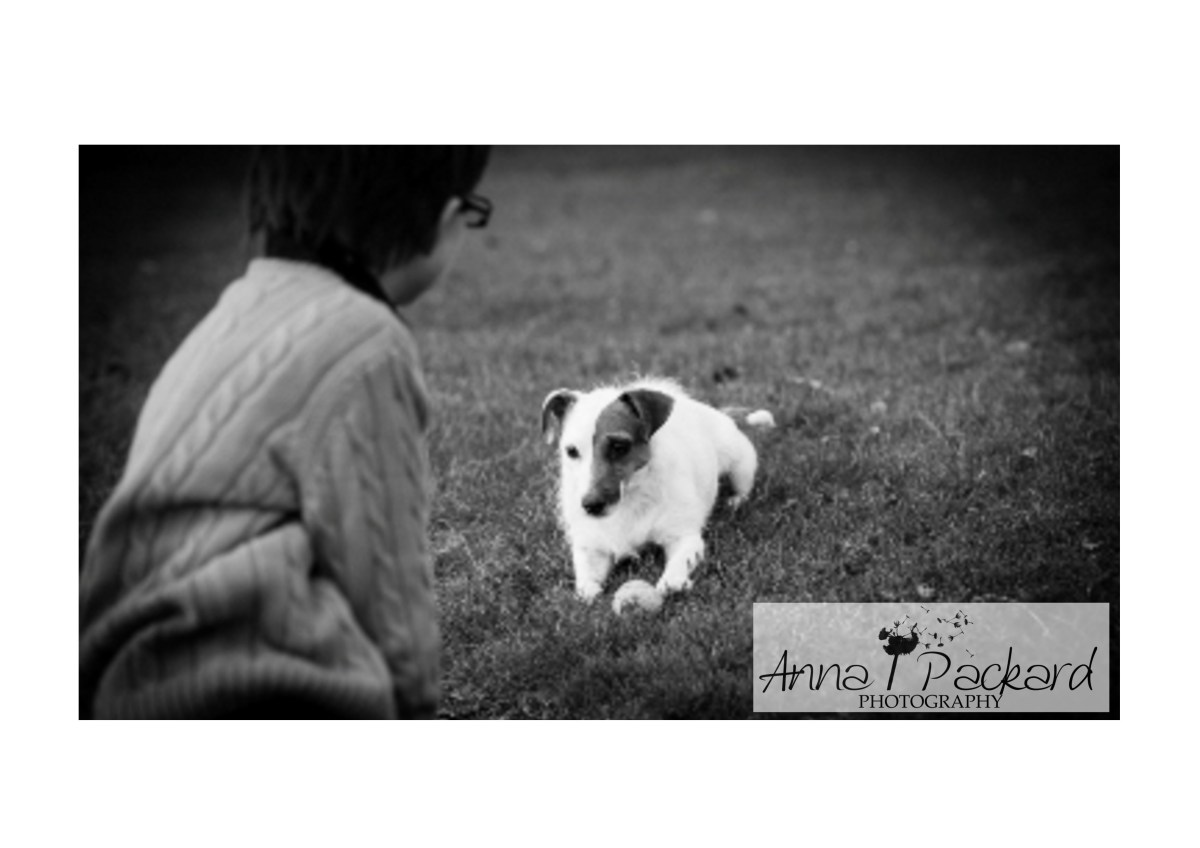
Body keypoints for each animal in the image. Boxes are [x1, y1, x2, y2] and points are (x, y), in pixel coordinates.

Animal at [540, 377, 773, 603]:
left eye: (619, 446)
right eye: (571, 451)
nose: (590, 506)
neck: (631, 500)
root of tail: (710, 411)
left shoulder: (684, 537)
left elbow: (679, 561)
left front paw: (672, 582)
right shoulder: (591, 546)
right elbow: (585, 574)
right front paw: (587, 591)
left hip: (740, 463)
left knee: (743, 485)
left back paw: (736, 501)